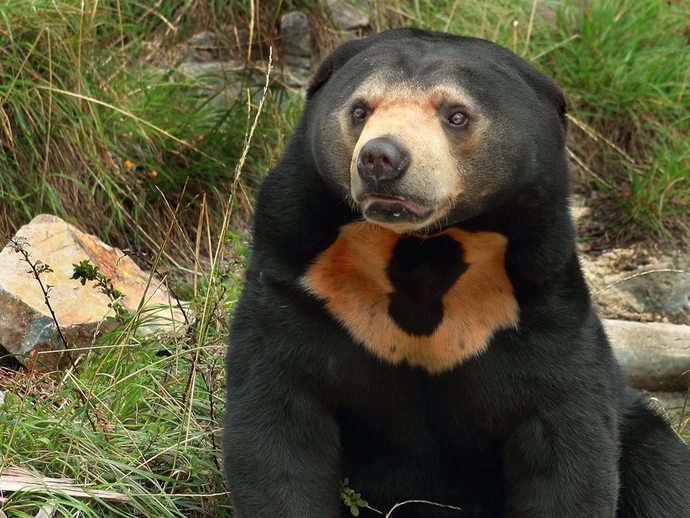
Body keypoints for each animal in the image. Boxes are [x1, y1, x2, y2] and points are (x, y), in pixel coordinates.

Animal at [223, 28, 690, 517]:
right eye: (360, 109)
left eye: (456, 115)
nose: (380, 158)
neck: (421, 251)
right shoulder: (301, 284)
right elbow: (280, 423)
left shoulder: (538, 303)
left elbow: (565, 441)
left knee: (661, 474)